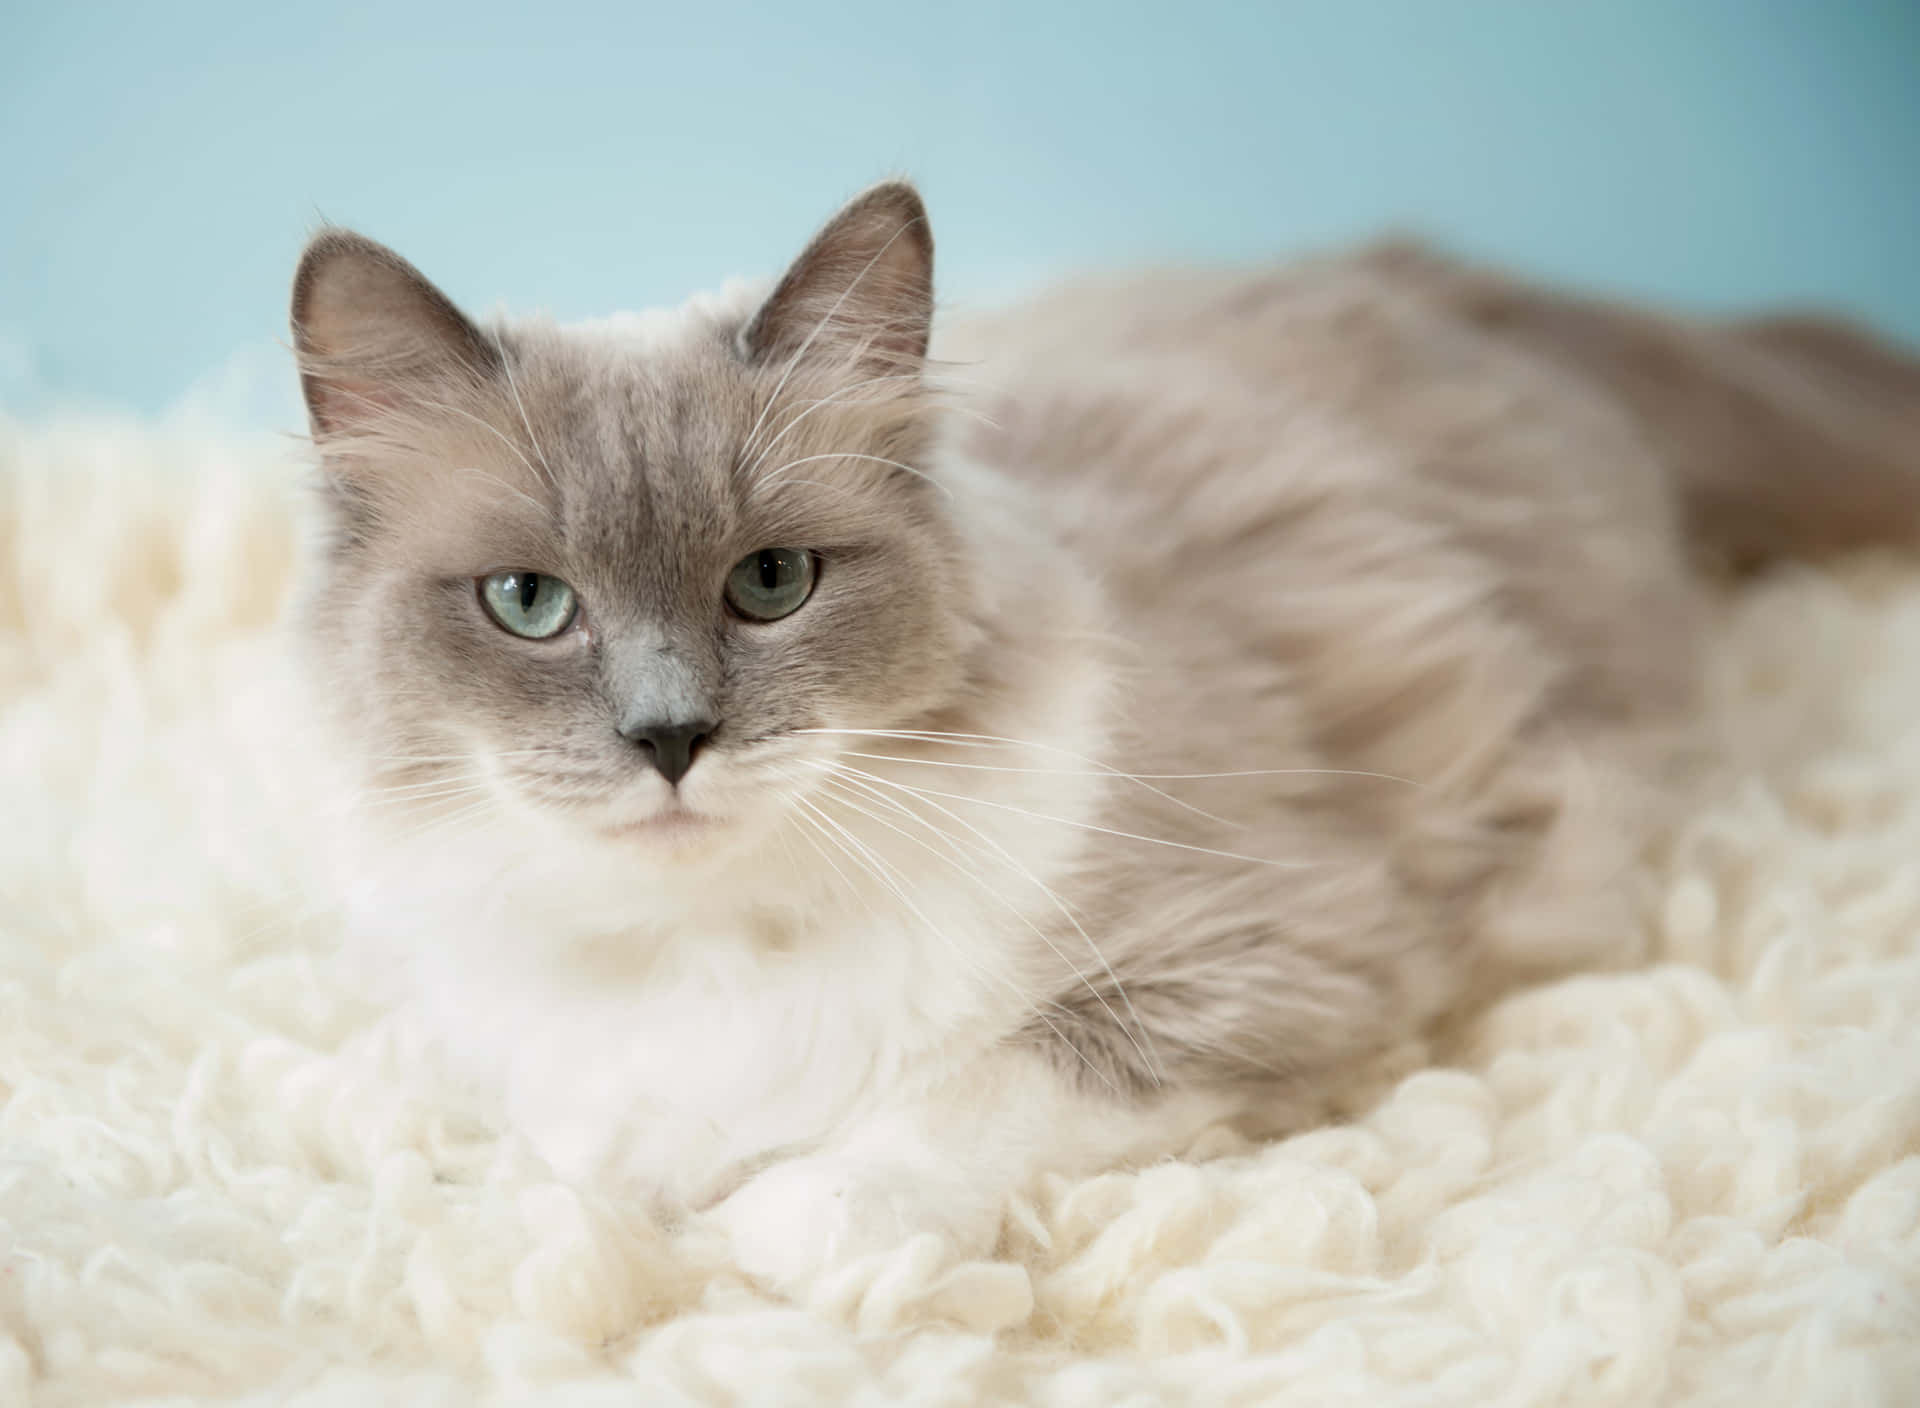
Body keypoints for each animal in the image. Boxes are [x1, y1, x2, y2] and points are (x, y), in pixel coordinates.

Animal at [288, 178, 1920, 1283]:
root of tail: (1416, 271)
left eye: (770, 584)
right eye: (528, 604)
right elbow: (569, 1184)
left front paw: (755, 1243)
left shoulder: (1243, 967)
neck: (708, 946)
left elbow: (933, 1116)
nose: (671, 739)